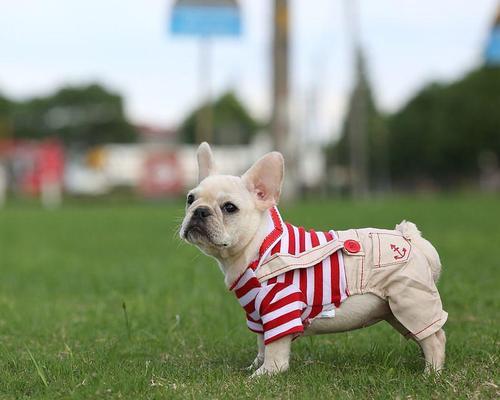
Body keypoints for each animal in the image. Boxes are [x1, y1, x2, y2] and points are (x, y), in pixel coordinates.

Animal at [182, 144, 448, 378]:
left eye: (229, 208)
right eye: (190, 199)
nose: (200, 211)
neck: (259, 246)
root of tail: (411, 239)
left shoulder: (280, 304)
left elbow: (275, 346)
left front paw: (266, 374)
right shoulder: (258, 313)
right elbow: (262, 342)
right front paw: (255, 365)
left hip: (411, 300)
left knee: (435, 338)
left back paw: (431, 374)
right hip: (395, 310)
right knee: (425, 334)